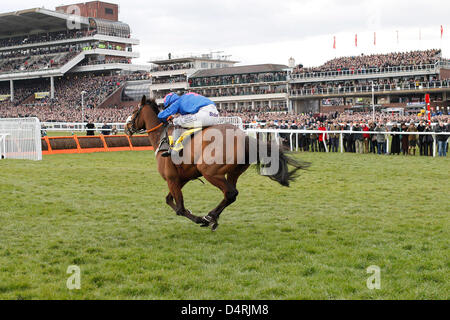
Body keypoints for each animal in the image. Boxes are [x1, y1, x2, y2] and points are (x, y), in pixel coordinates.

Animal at [125, 95, 310, 230]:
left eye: (134, 111)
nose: (127, 127)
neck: (162, 137)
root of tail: (245, 137)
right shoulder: (180, 179)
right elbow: (170, 200)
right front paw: (199, 217)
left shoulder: (172, 178)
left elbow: (180, 208)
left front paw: (199, 219)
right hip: (233, 172)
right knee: (231, 194)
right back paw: (212, 217)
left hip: (209, 171)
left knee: (230, 193)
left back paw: (209, 217)